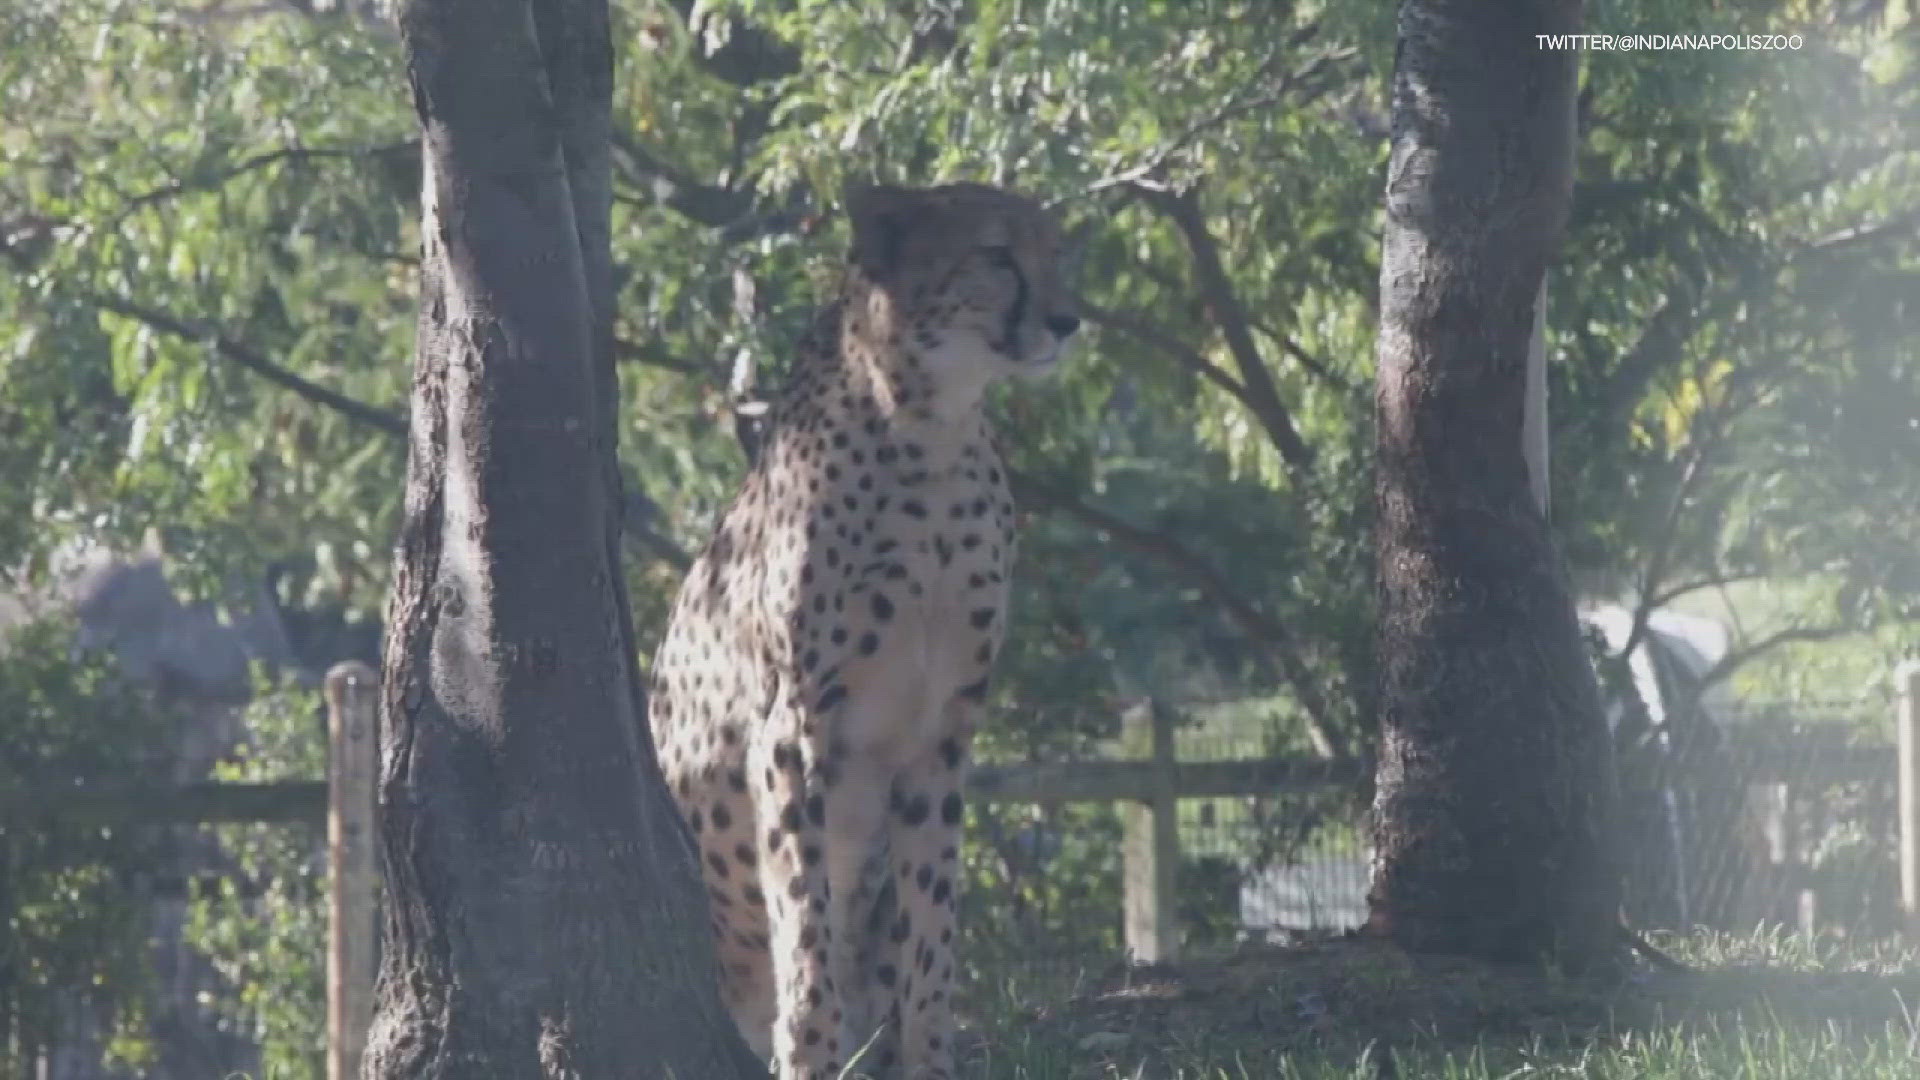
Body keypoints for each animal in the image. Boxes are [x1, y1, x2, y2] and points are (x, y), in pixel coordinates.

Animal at [648, 180, 1082, 1068]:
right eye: (996, 254)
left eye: (1057, 253)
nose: (1068, 320)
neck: (930, 432)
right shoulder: (793, 727)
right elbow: (802, 914)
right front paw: (809, 1050)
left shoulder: (942, 734)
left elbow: (932, 926)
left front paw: (928, 1056)